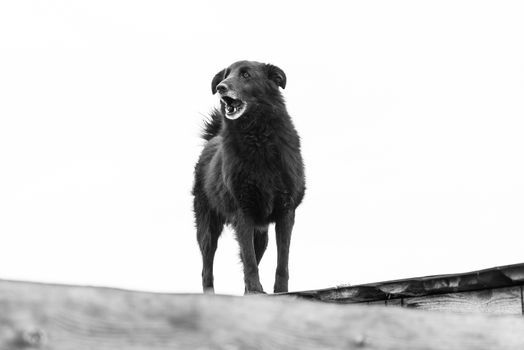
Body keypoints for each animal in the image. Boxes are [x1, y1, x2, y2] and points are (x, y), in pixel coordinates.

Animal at [192, 60, 308, 296]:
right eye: (225, 76)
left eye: (246, 75)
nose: (221, 88)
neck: (258, 138)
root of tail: (212, 138)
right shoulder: (242, 211)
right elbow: (249, 260)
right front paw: (255, 290)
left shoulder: (286, 211)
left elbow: (282, 261)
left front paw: (279, 291)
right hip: (208, 227)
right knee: (207, 268)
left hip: (261, 234)